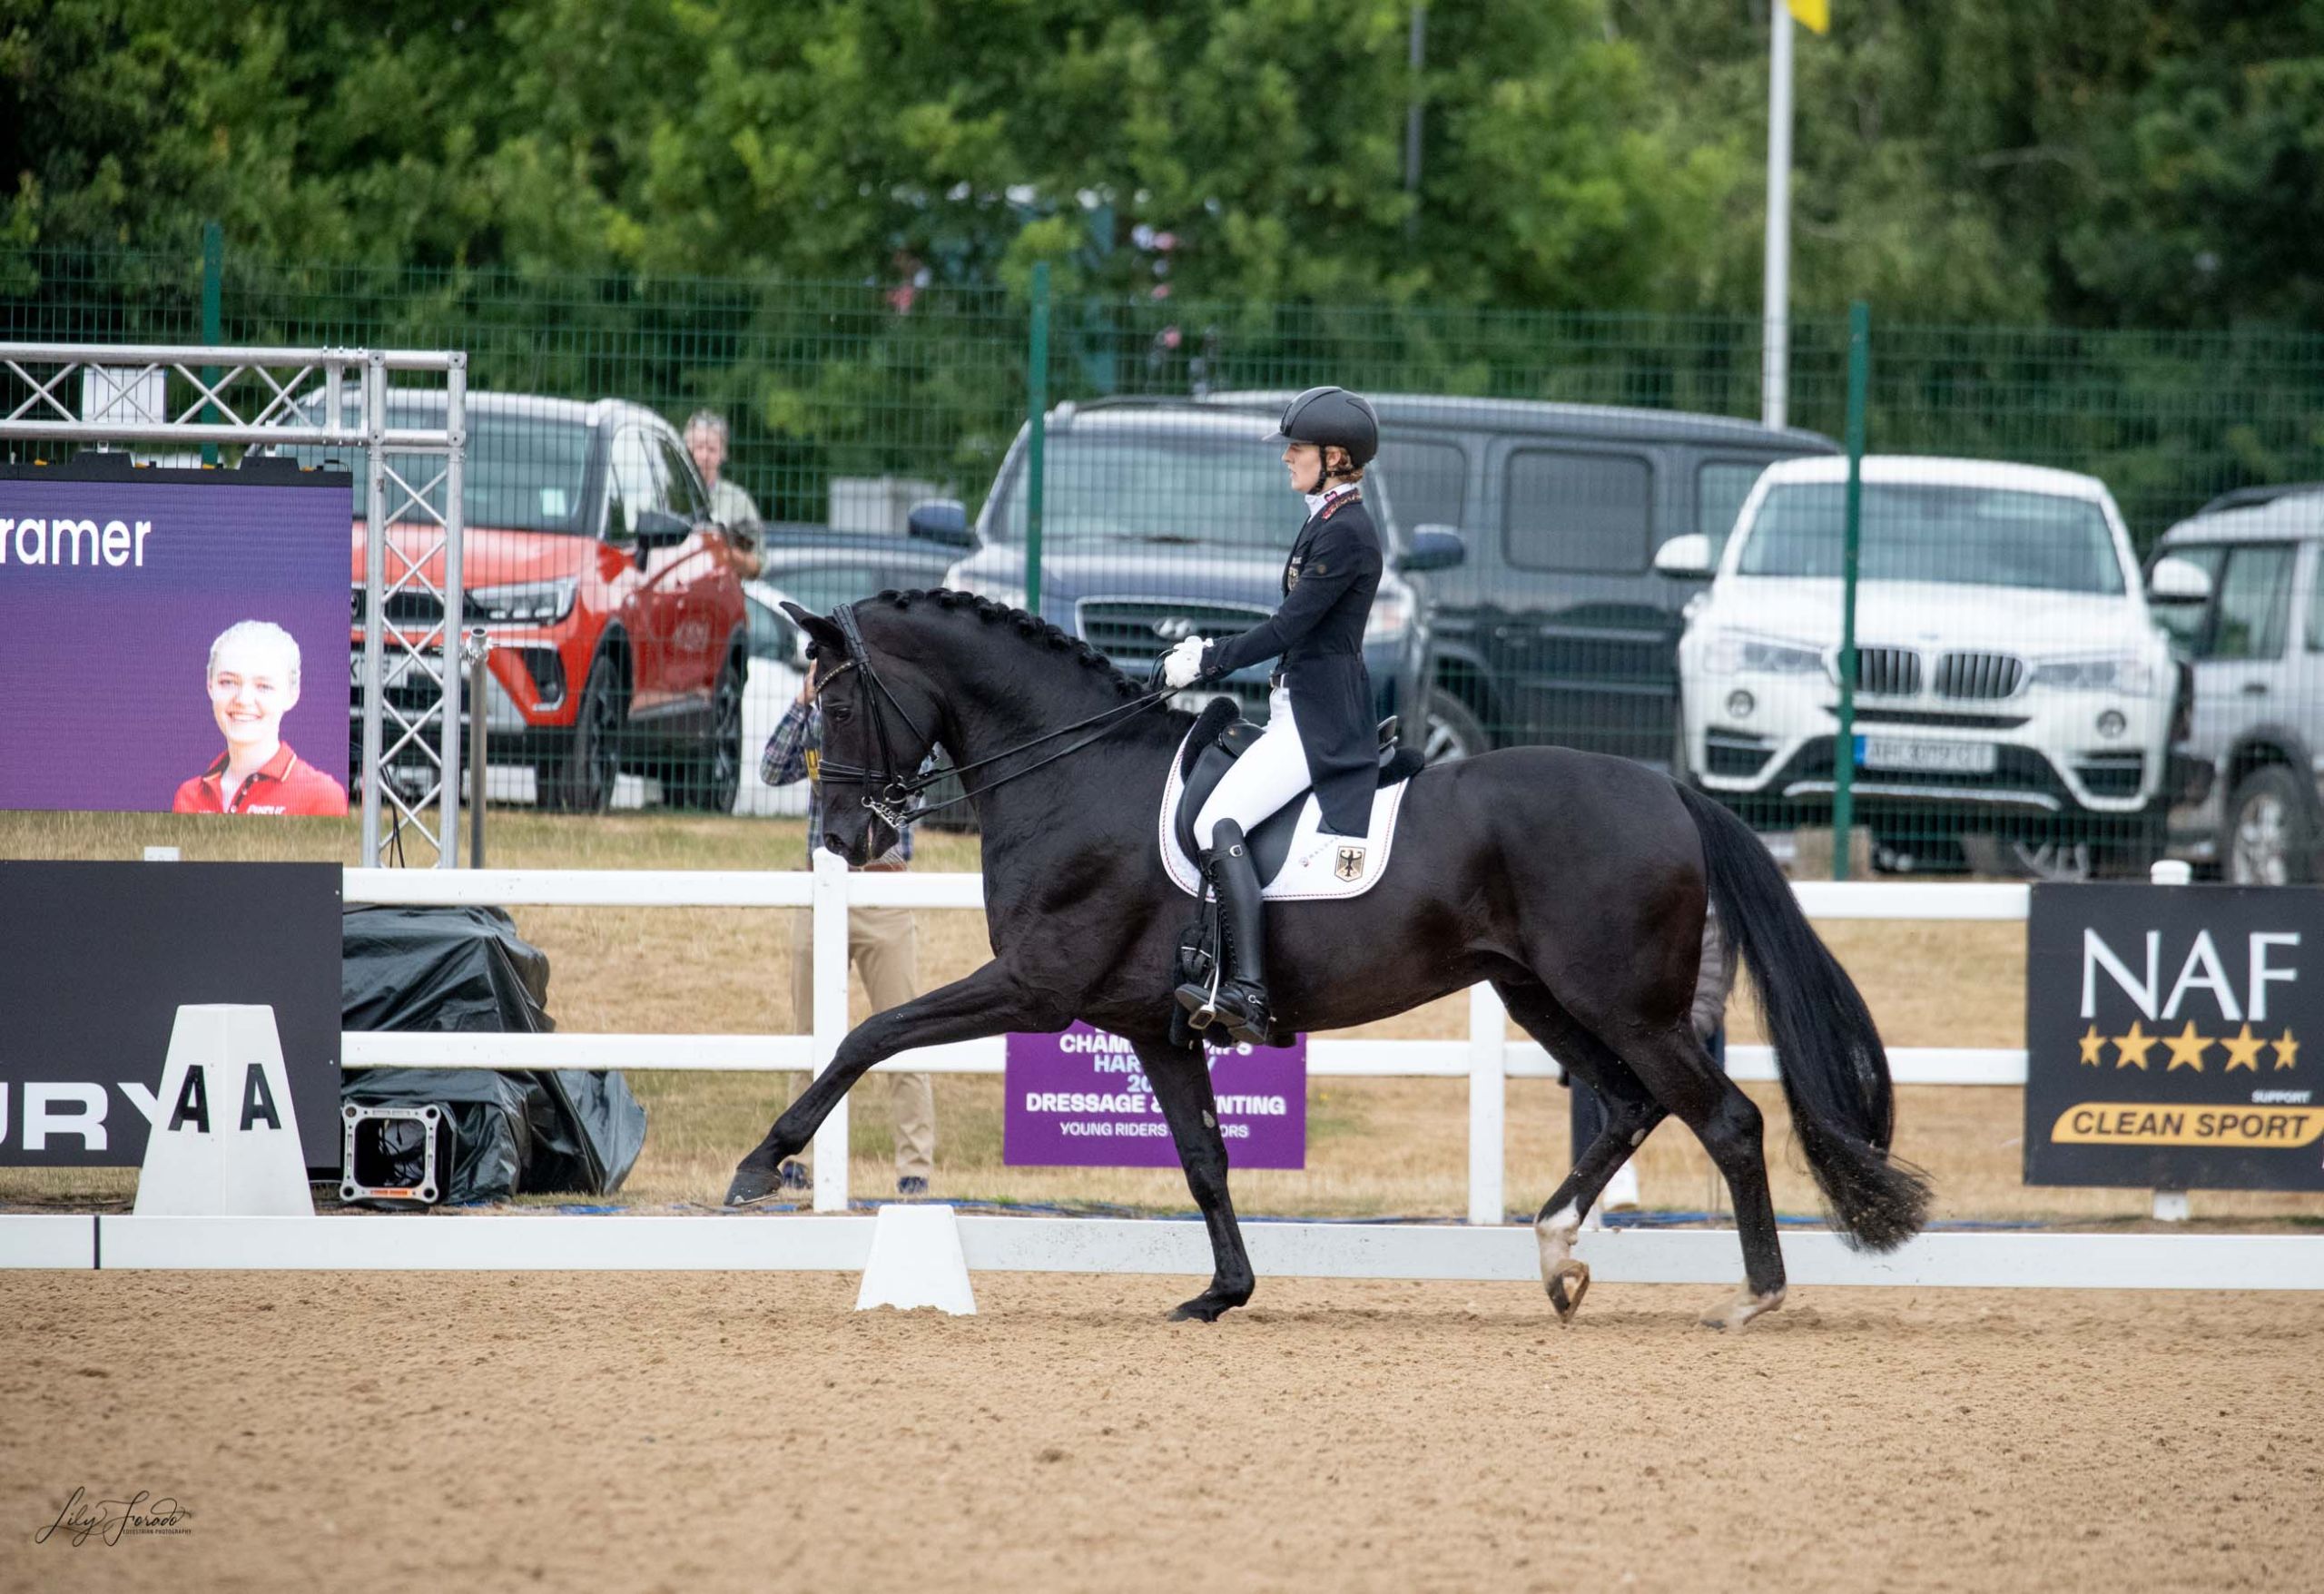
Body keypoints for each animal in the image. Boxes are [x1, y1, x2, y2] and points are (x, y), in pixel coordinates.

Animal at [724, 592, 1924, 1329]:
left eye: (835, 699)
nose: (845, 838)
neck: (1074, 774)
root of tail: (1669, 788)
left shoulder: (1034, 986)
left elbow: (870, 1031)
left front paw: (760, 1163)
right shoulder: (1153, 1026)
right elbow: (1204, 1159)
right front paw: (1223, 1292)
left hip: (1624, 1001)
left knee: (1726, 1119)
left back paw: (1752, 1297)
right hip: (1541, 993)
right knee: (1630, 1105)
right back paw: (1555, 1256)